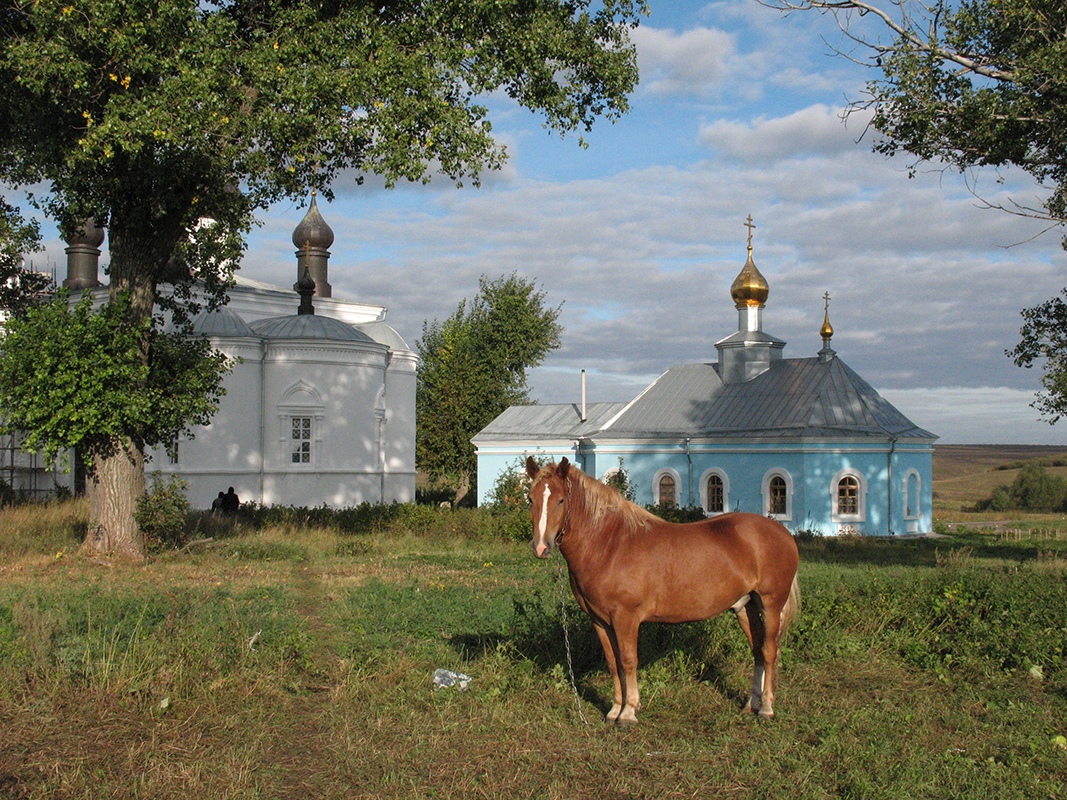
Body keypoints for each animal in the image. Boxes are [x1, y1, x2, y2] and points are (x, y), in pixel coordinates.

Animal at [524, 456, 802, 725]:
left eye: (561, 500)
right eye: (531, 499)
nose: (541, 547)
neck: (609, 545)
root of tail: (782, 532)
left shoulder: (626, 618)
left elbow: (628, 661)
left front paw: (628, 712)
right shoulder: (599, 621)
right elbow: (613, 664)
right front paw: (614, 710)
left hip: (770, 604)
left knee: (769, 651)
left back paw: (766, 708)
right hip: (745, 606)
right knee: (757, 651)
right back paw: (750, 705)